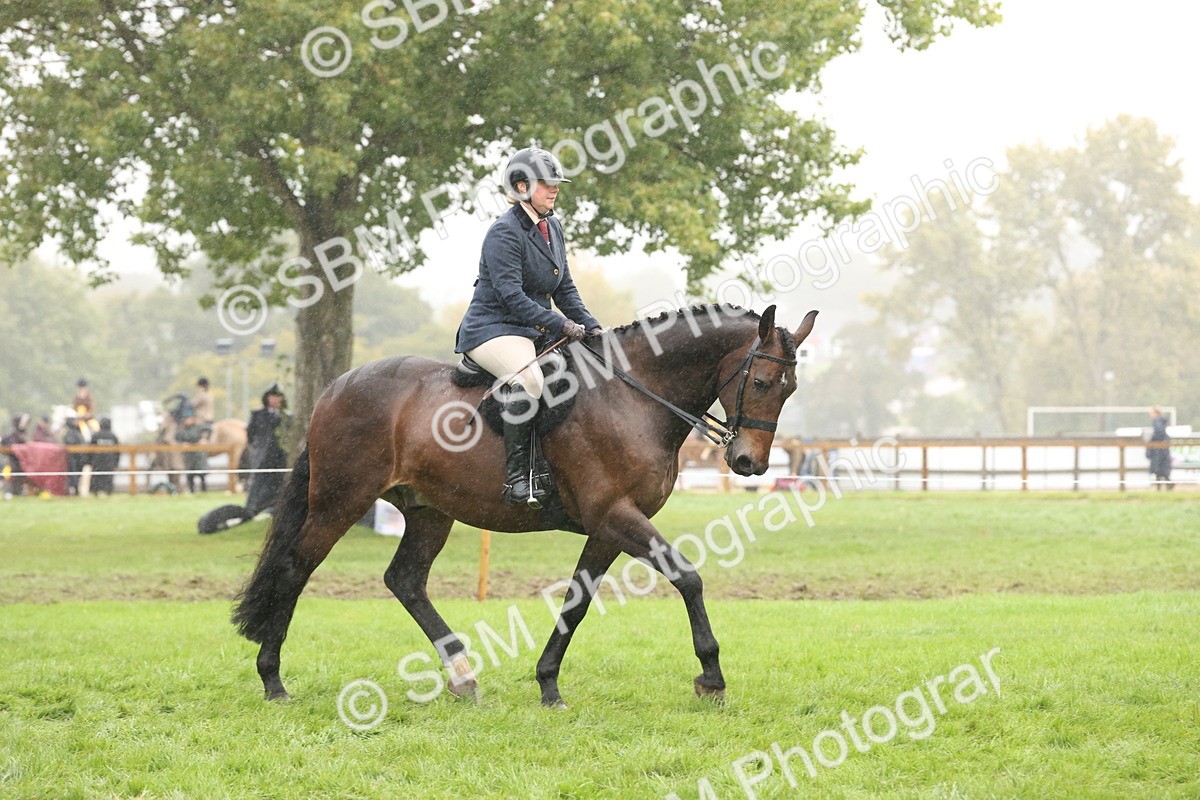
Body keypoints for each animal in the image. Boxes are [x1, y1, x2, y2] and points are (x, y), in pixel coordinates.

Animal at [232, 303, 817, 706]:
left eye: (790, 390)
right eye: (761, 381)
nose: (749, 463)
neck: (633, 397)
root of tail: (335, 388)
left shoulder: (609, 526)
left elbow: (578, 601)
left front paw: (548, 684)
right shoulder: (614, 515)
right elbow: (687, 577)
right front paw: (711, 677)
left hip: (429, 511)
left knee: (405, 580)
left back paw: (463, 676)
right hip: (340, 500)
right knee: (296, 568)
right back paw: (273, 679)